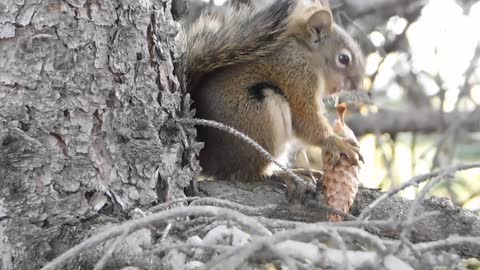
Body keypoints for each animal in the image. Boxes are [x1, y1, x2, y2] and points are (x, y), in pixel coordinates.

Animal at [183, 0, 364, 184]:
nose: (359, 85)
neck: (305, 55)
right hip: (260, 120)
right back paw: (283, 173)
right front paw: (337, 142)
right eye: (343, 59)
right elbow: (305, 120)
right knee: (251, 173)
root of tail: (209, 161)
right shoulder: (296, 77)